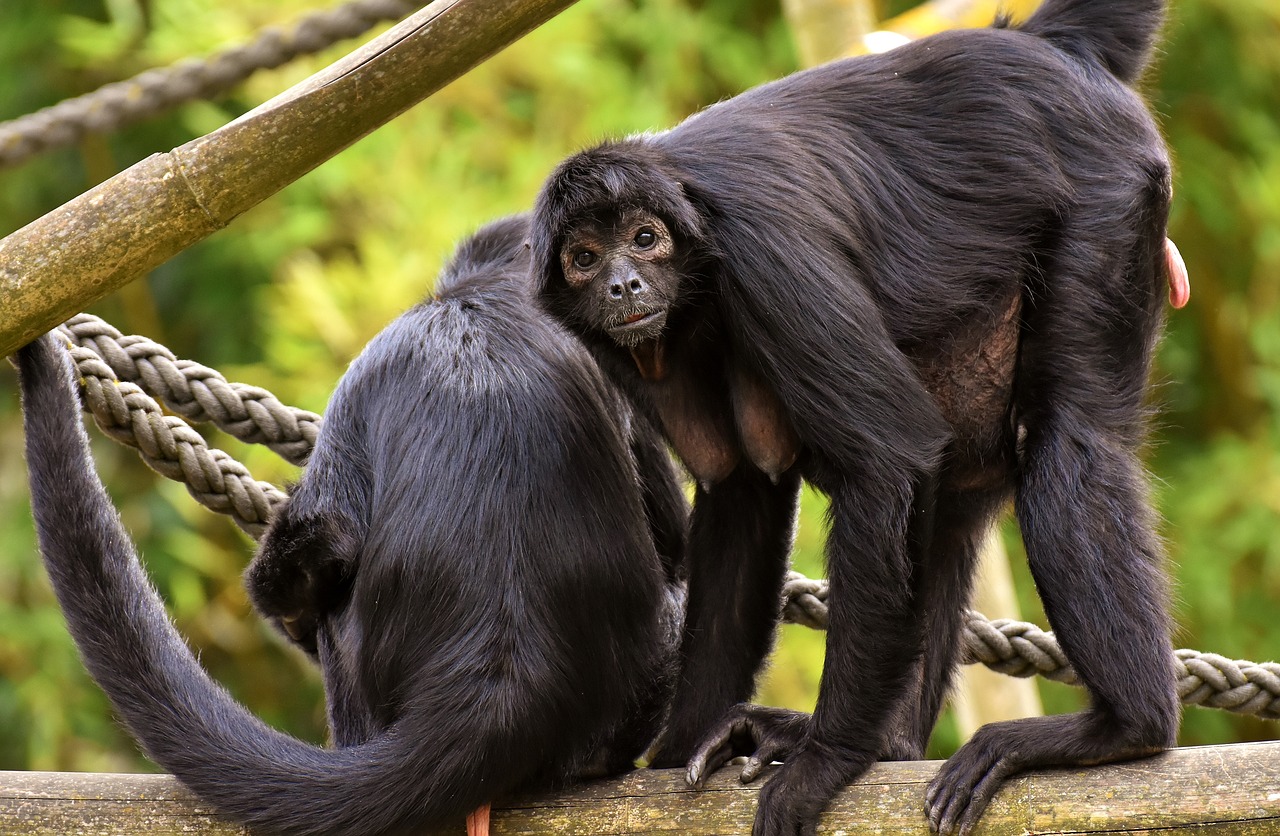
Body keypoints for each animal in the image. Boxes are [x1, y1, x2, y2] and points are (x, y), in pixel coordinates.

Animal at [527, 1, 1177, 834]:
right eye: (584, 257)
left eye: (645, 239)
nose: (624, 285)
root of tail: (1038, 47)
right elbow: (741, 490)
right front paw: (675, 752)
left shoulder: (764, 253)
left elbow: (889, 460)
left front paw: (824, 763)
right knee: (956, 496)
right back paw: (889, 744)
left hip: (1105, 193)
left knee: (1065, 439)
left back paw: (1125, 729)